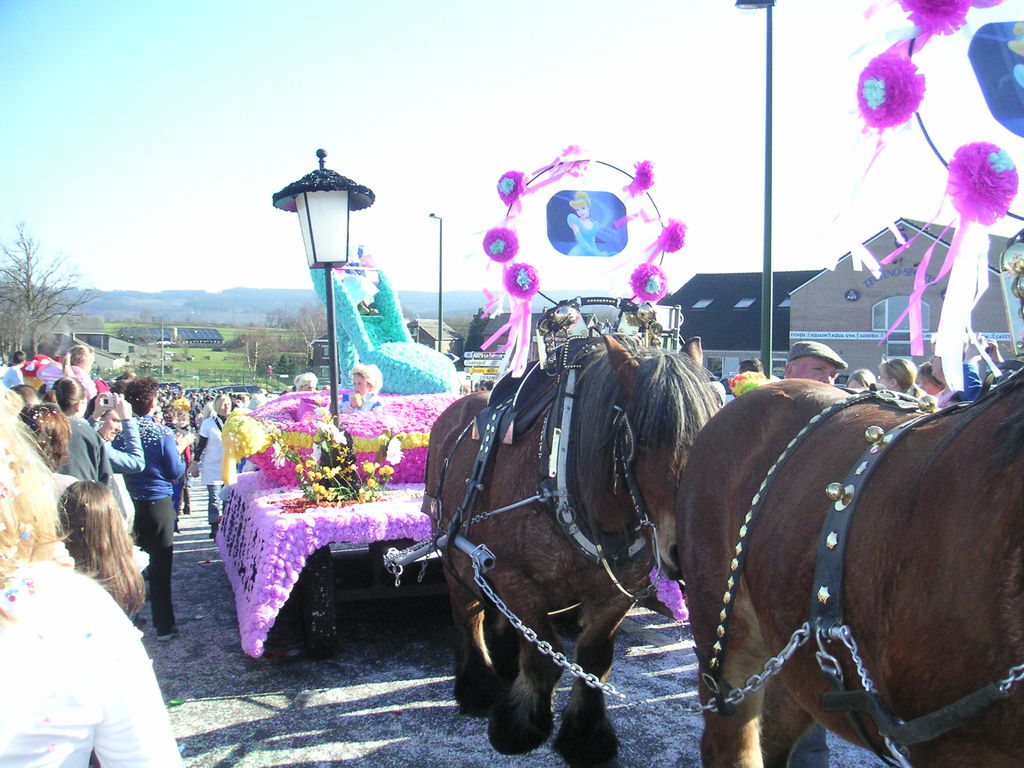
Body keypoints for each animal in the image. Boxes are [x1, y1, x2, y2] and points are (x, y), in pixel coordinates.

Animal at [419, 335, 716, 768]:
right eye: (642, 440)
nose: (687, 547)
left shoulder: (618, 591)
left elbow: (593, 657)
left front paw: (585, 734)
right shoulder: (514, 576)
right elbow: (545, 656)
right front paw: (520, 725)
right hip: (452, 547)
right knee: (468, 613)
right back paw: (477, 686)